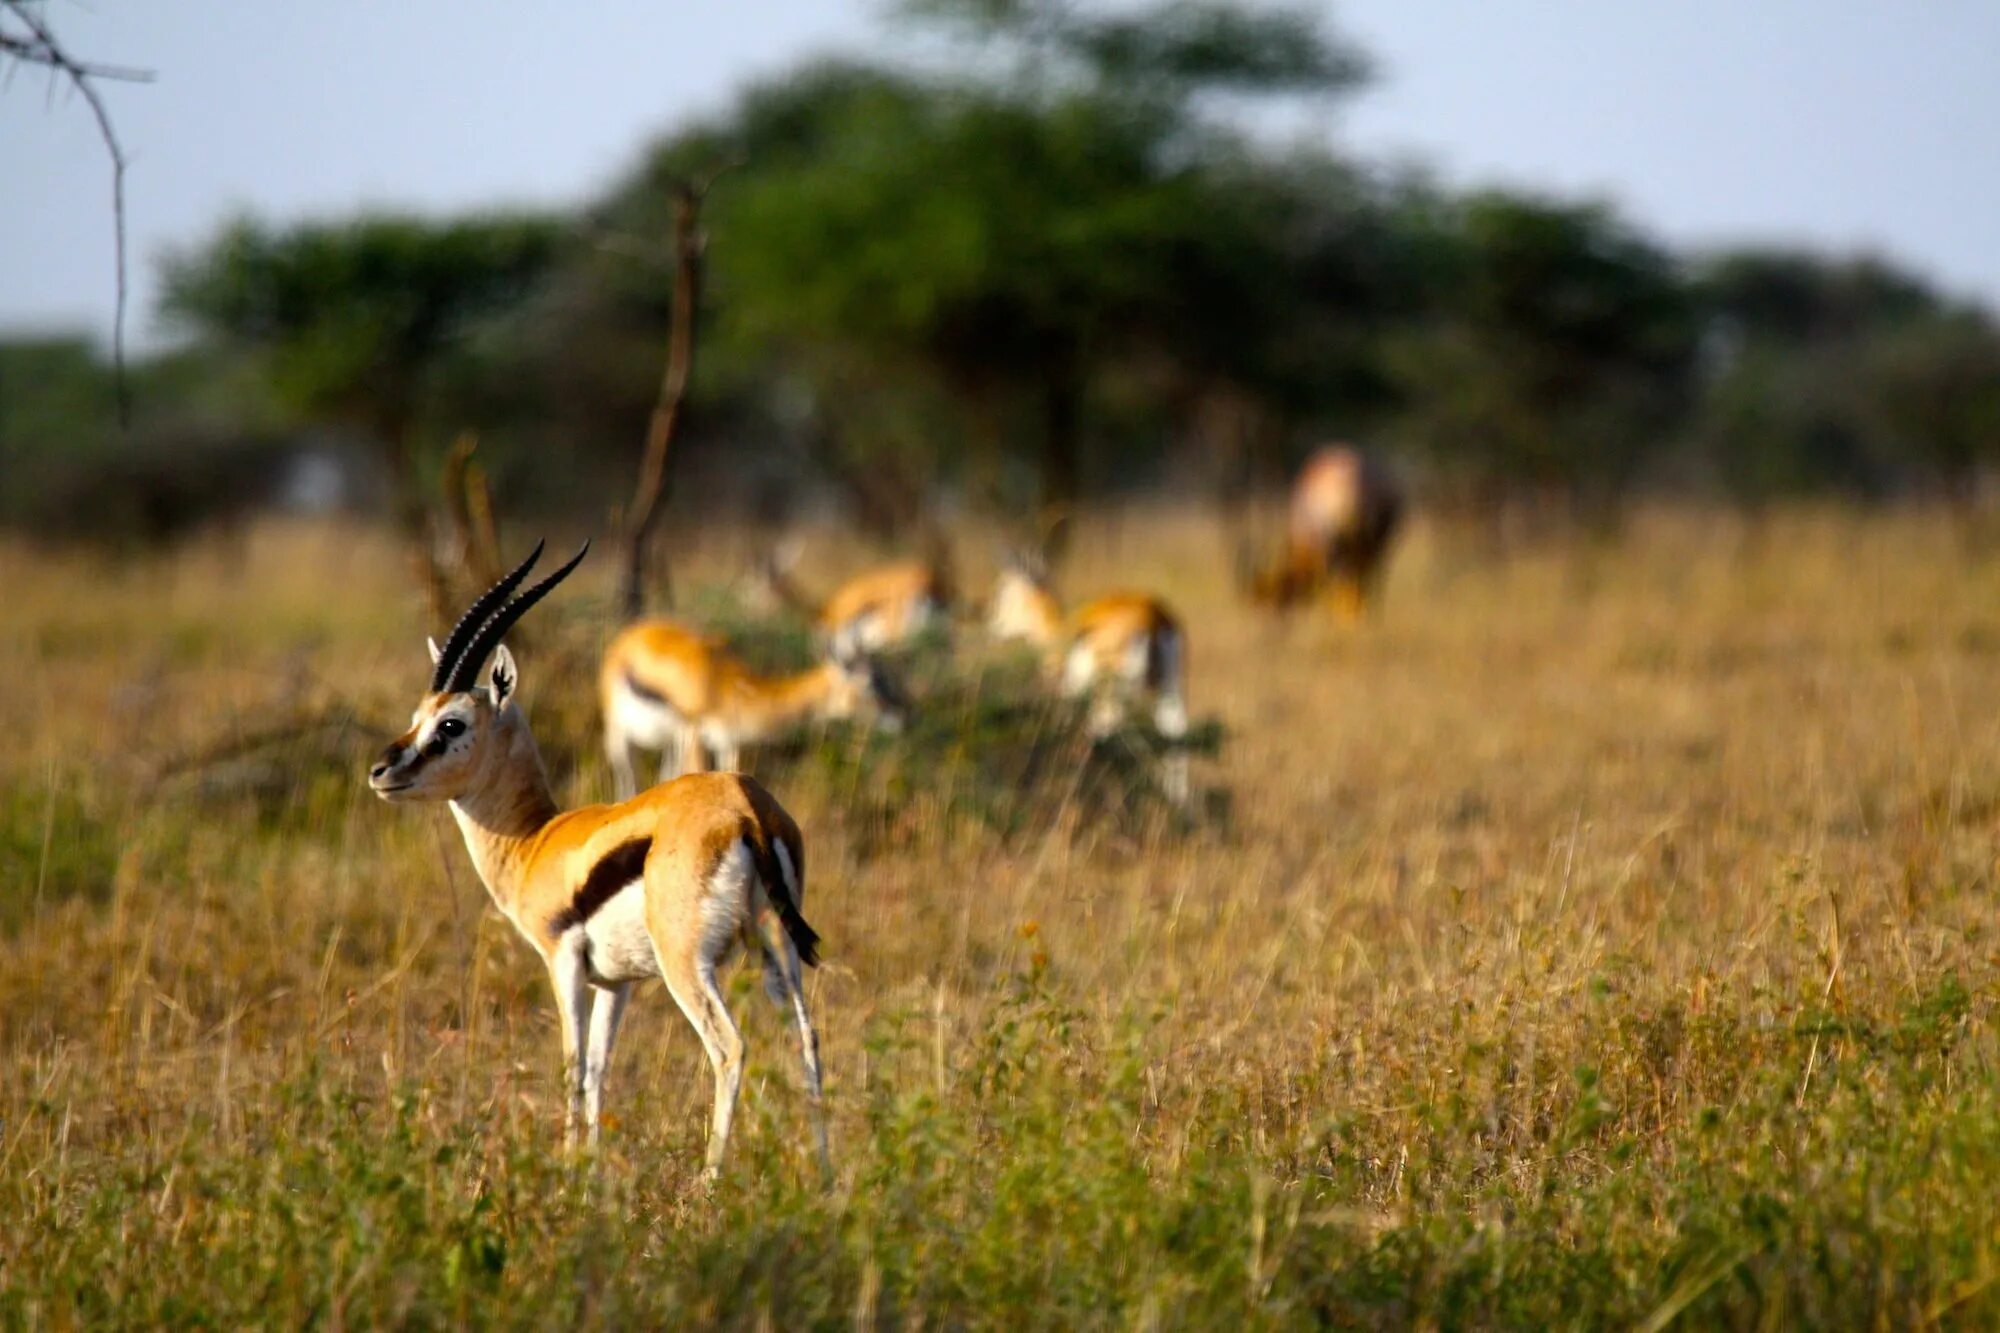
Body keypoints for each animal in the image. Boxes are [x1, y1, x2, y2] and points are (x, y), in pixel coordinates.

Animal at [370, 540, 828, 1176]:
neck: (536, 841)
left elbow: (573, 1067)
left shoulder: (563, 962)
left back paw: (708, 1183)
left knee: (730, 1047)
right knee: (807, 1041)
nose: (381, 772)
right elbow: (599, 1069)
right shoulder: (618, 981)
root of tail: (746, 808)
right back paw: (827, 1179)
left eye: (450, 723)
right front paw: (588, 1171)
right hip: (776, 950)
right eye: (418, 716)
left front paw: (567, 1173)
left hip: (688, 965)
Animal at [592, 616, 908, 792]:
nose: (901, 714)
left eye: (888, 676)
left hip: (670, 745)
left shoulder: (727, 744)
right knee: (628, 786)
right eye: (869, 682)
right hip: (621, 739)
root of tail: (628, 637)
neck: (728, 685)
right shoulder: (695, 737)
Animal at [984, 552, 1184, 800]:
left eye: (1002, 589)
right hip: (1170, 687)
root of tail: (1152, 614)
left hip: (1112, 691)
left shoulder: (1071, 693)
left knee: (1106, 726)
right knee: (1175, 728)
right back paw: (1179, 800)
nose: (991, 624)